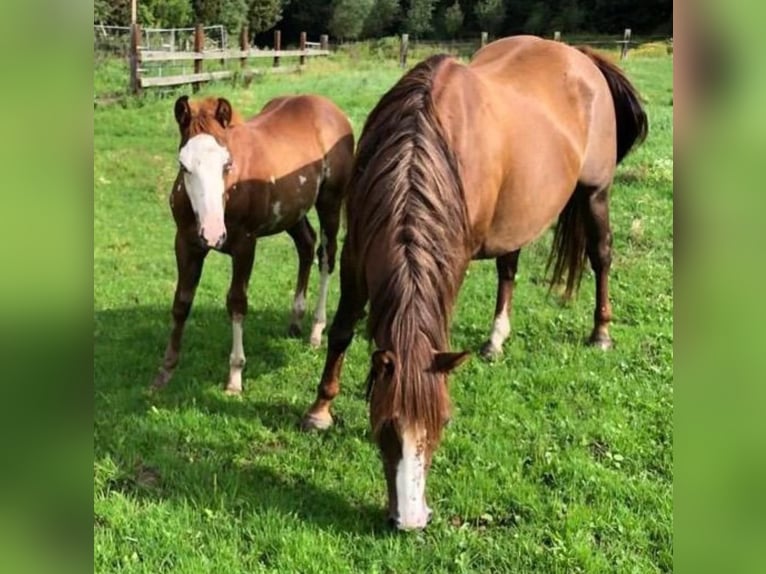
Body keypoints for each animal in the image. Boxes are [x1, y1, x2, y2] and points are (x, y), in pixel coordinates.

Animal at [152, 94, 355, 394]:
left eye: (227, 165)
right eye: (183, 165)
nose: (213, 233)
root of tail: (332, 110)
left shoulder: (244, 245)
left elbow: (237, 302)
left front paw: (235, 377)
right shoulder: (186, 244)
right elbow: (181, 302)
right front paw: (165, 371)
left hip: (330, 201)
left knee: (327, 256)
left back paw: (317, 330)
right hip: (292, 212)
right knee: (306, 244)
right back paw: (296, 319)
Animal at [300, 36, 648, 530]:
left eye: (443, 421)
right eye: (384, 424)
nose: (411, 521)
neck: (419, 141)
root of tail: (581, 56)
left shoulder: (454, 257)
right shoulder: (355, 253)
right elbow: (343, 330)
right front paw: (320, 409)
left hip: (595, 192)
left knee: (601, 256)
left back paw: (600, 331)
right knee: (509, 271)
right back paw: (495, 340)